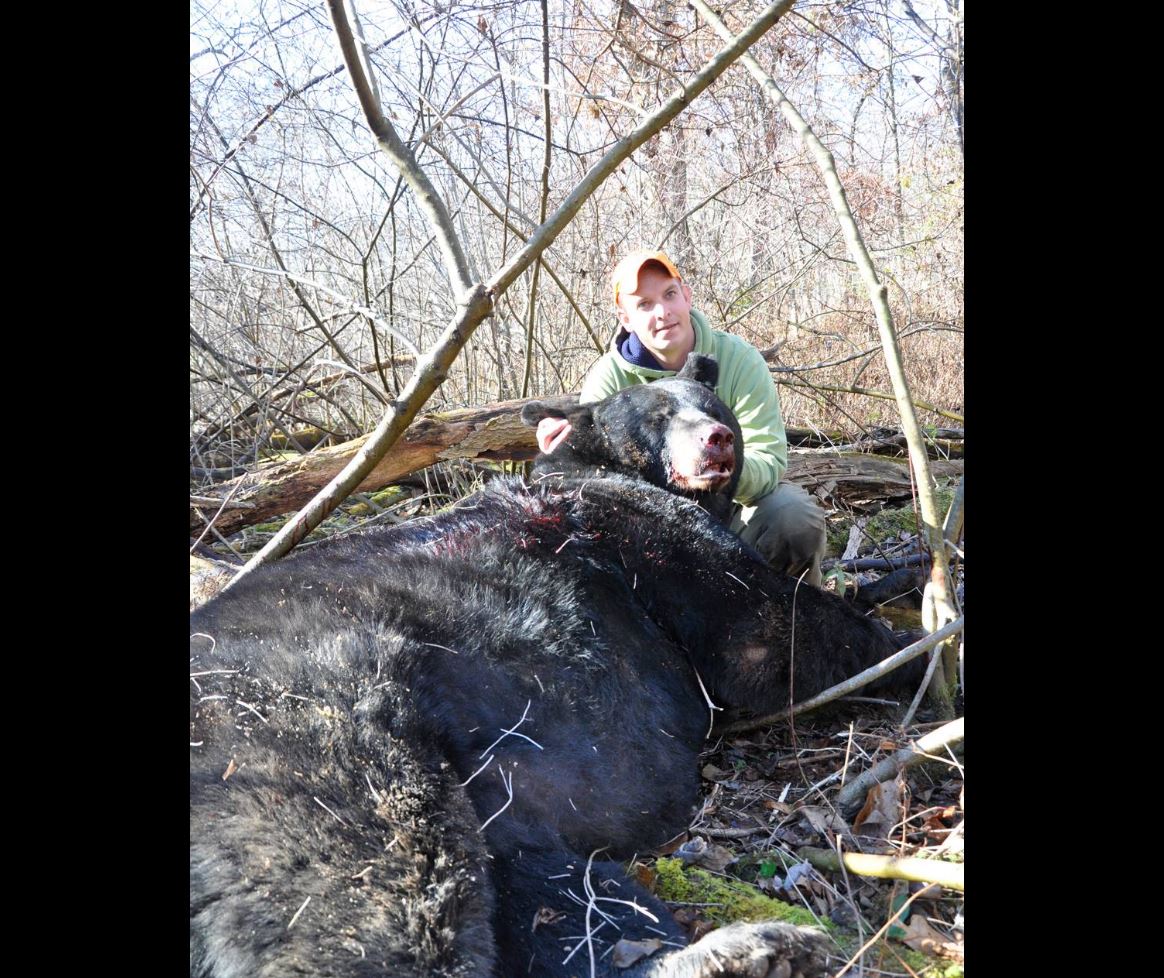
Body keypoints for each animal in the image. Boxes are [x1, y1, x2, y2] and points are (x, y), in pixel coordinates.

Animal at [188, 356, 907, 977]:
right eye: (656, 415)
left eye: (709, 404)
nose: (717, 439)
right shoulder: (657, 542)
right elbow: (767, 633)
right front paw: (914, 642)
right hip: (310, 736)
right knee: (380, 889)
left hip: (488, 800)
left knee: (554, 891)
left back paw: (742, 951)